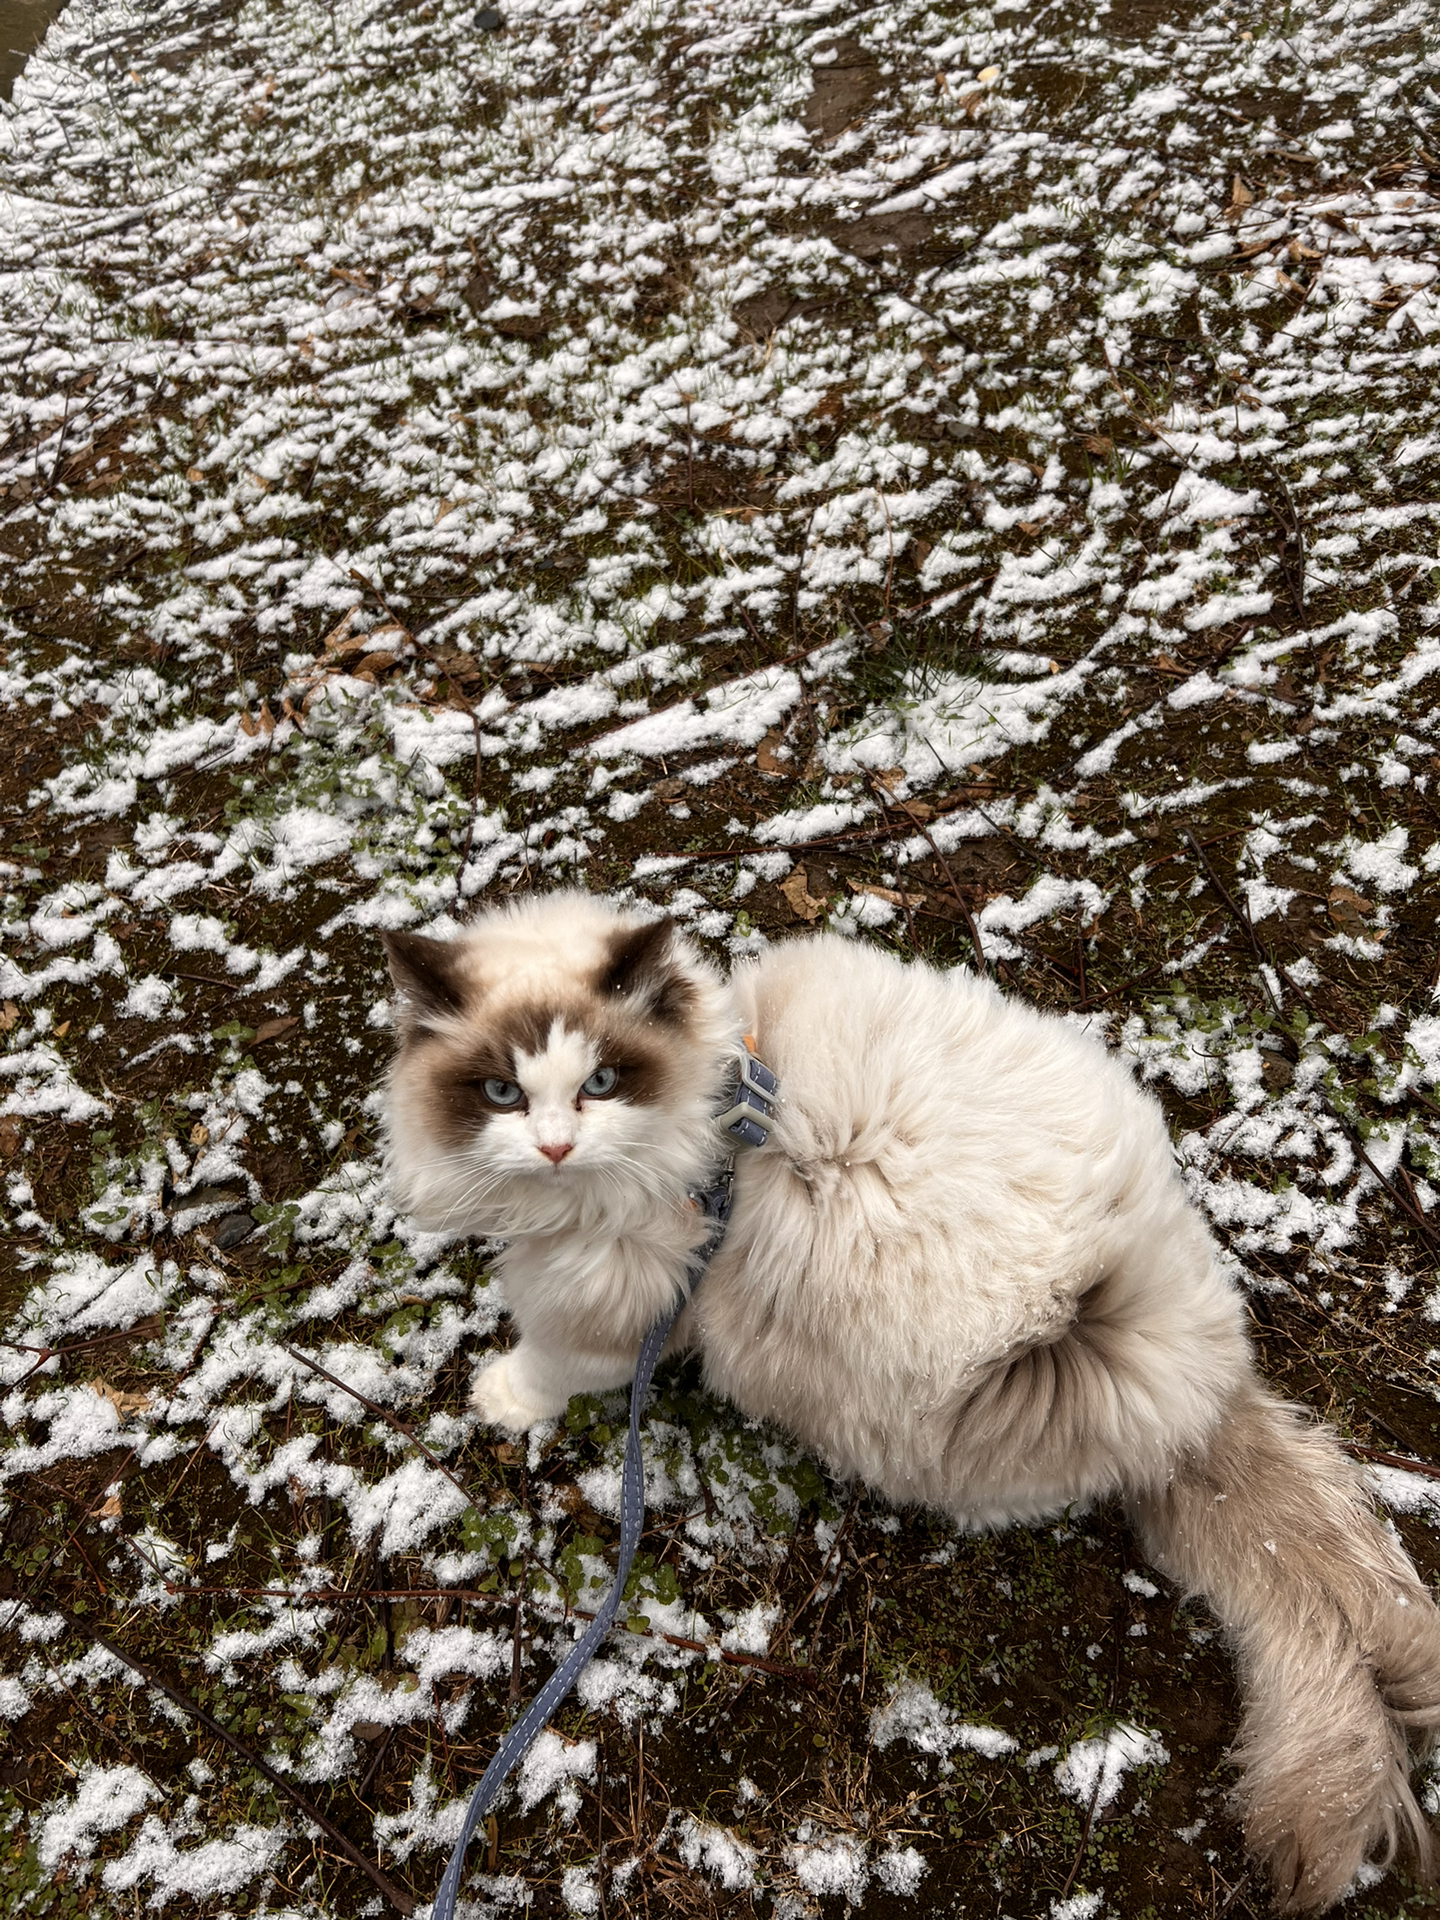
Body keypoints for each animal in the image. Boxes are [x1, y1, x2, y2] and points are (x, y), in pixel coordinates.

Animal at [380, 890, 1440, 1912]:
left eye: (600, 1082)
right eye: (501, 1093)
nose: (556, 1146)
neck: (722, 1117)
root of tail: (1198, 1387)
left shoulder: (619, 1307)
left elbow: (549, 1364)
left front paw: (500, 1396)